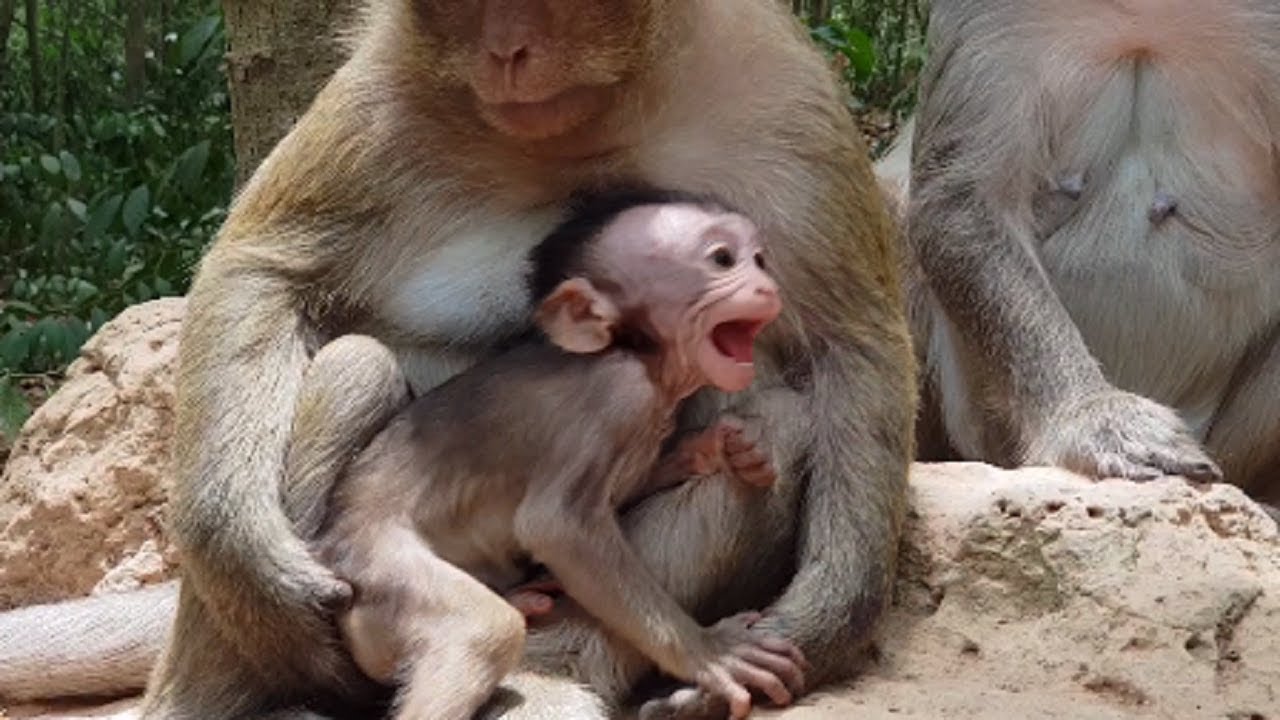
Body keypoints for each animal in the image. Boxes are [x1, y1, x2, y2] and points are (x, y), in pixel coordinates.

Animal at [314, 189, 806, 720]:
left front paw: (726, 447)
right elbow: (557, 526)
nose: (766, 284)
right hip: (380, 566)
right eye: (722, 259)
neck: (644, 361)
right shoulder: (618, 396)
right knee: (486, 630)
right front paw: (709, 653)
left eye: (758, 259)